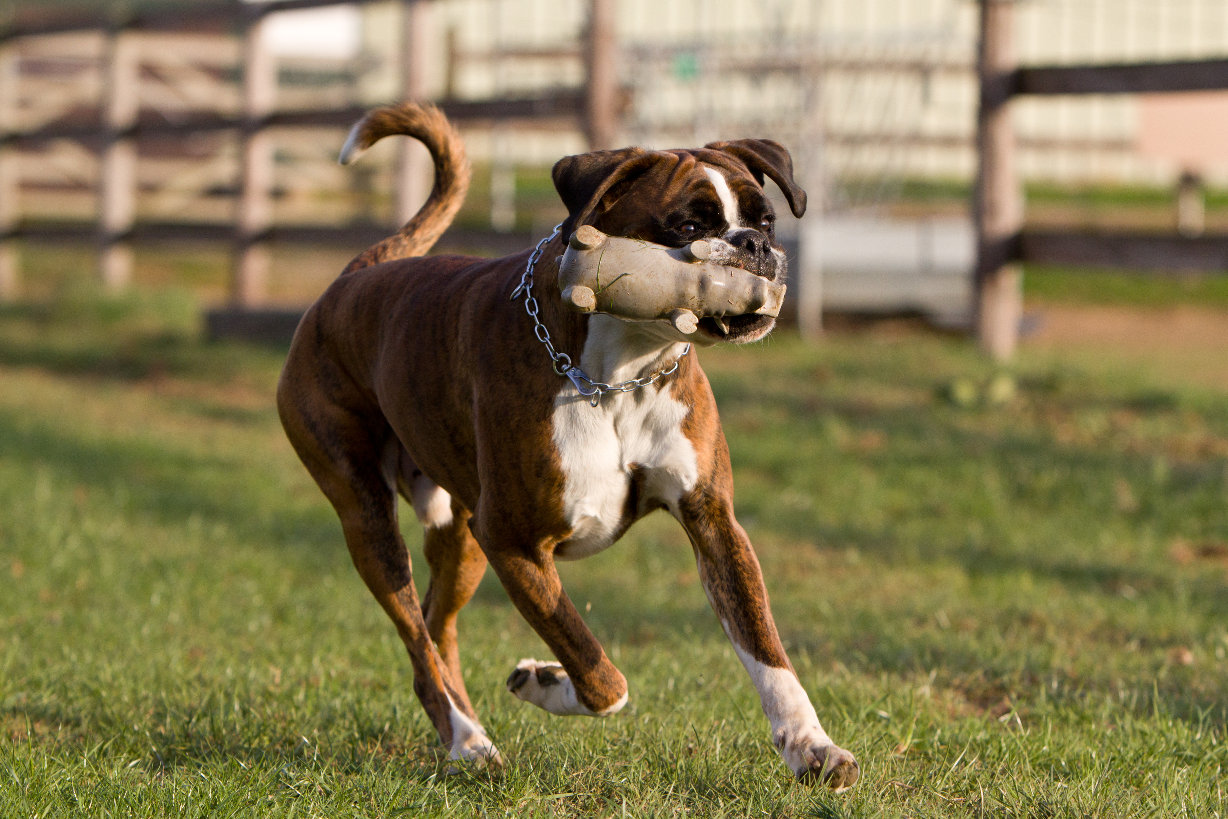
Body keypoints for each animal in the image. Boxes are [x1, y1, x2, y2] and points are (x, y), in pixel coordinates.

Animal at [276, 102, 854, 785]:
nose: (755, 246)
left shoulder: (715, 525)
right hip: (371, 523)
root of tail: (354, 276)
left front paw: (811, 745)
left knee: (438, 629)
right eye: (688, 226)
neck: (621, 371)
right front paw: (548, 682)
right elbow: (598, 670)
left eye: (765, 220)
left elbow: (766, 651)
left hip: (460, 534)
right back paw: (465, 739)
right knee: (416, 636)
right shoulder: (515, 544)